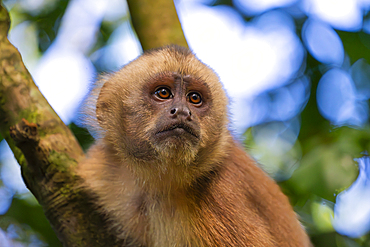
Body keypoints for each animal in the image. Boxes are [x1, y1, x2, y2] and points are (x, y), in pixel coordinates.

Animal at [79, 45, 312, 246]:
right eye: (163, 93)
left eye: (194, 98)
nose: (183, 112)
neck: (155, 181)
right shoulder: (102, 170)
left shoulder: (218, 197)